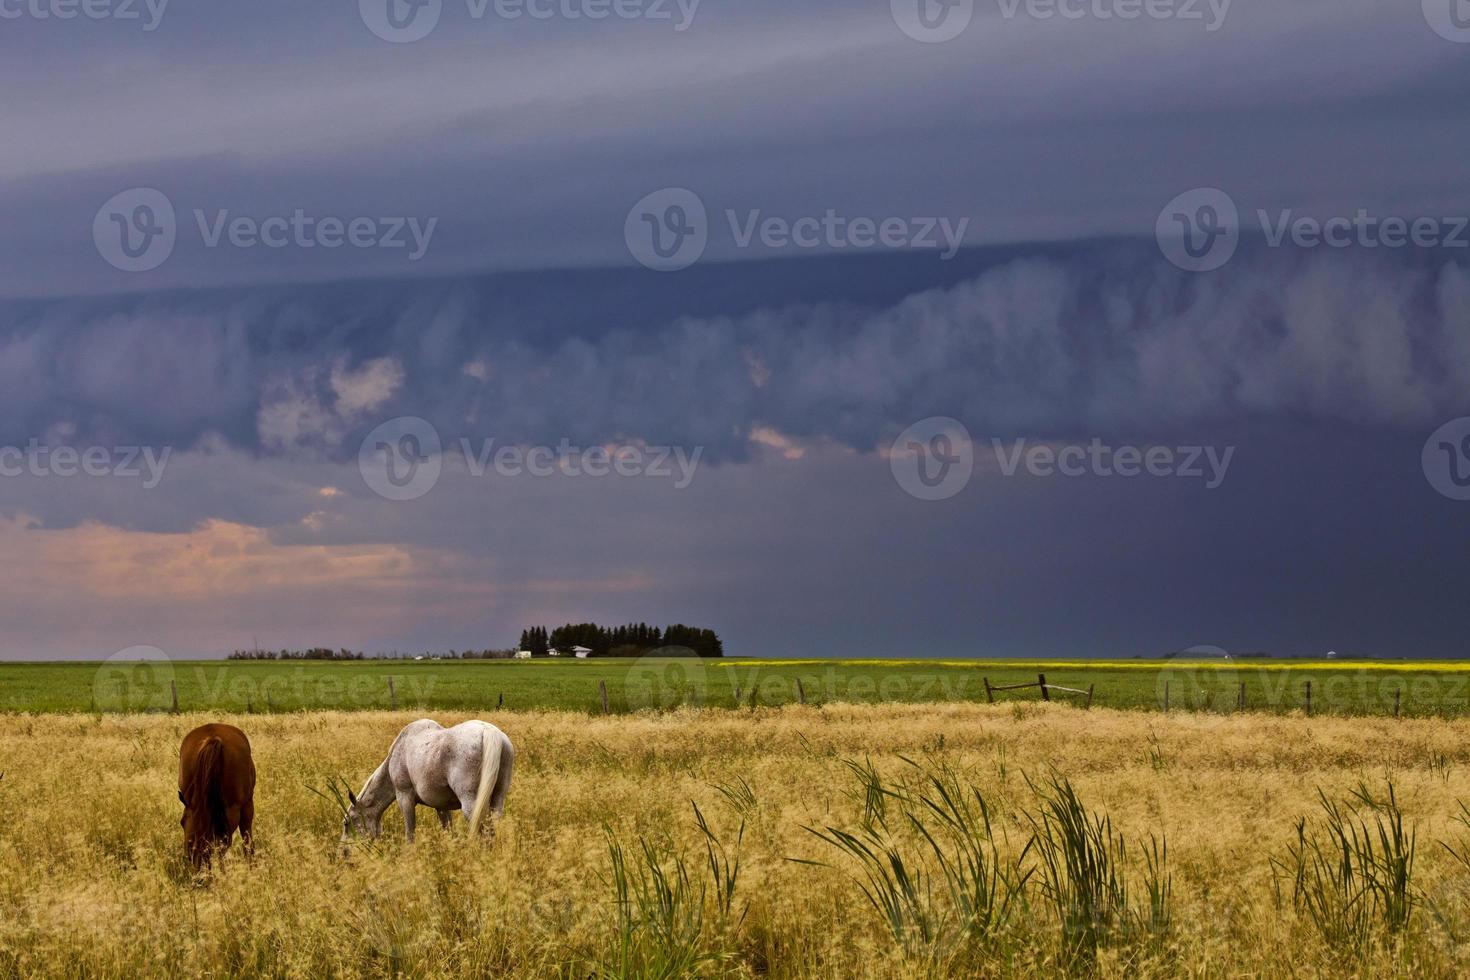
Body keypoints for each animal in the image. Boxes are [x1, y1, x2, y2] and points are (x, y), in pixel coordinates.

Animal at [177, 719, 255, 863]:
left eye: (182, 822)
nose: (189, 856)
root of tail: (213, 739)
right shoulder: (247, 805)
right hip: (232, 810)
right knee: (223, 846)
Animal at [341, 717, 514, 846]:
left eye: (347, 823)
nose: (344, 854)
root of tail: (489, 732)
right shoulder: (442, 806)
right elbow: (448, 831)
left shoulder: (404, 798)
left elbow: (410, 833)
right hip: (498, 798)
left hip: (471, 802)